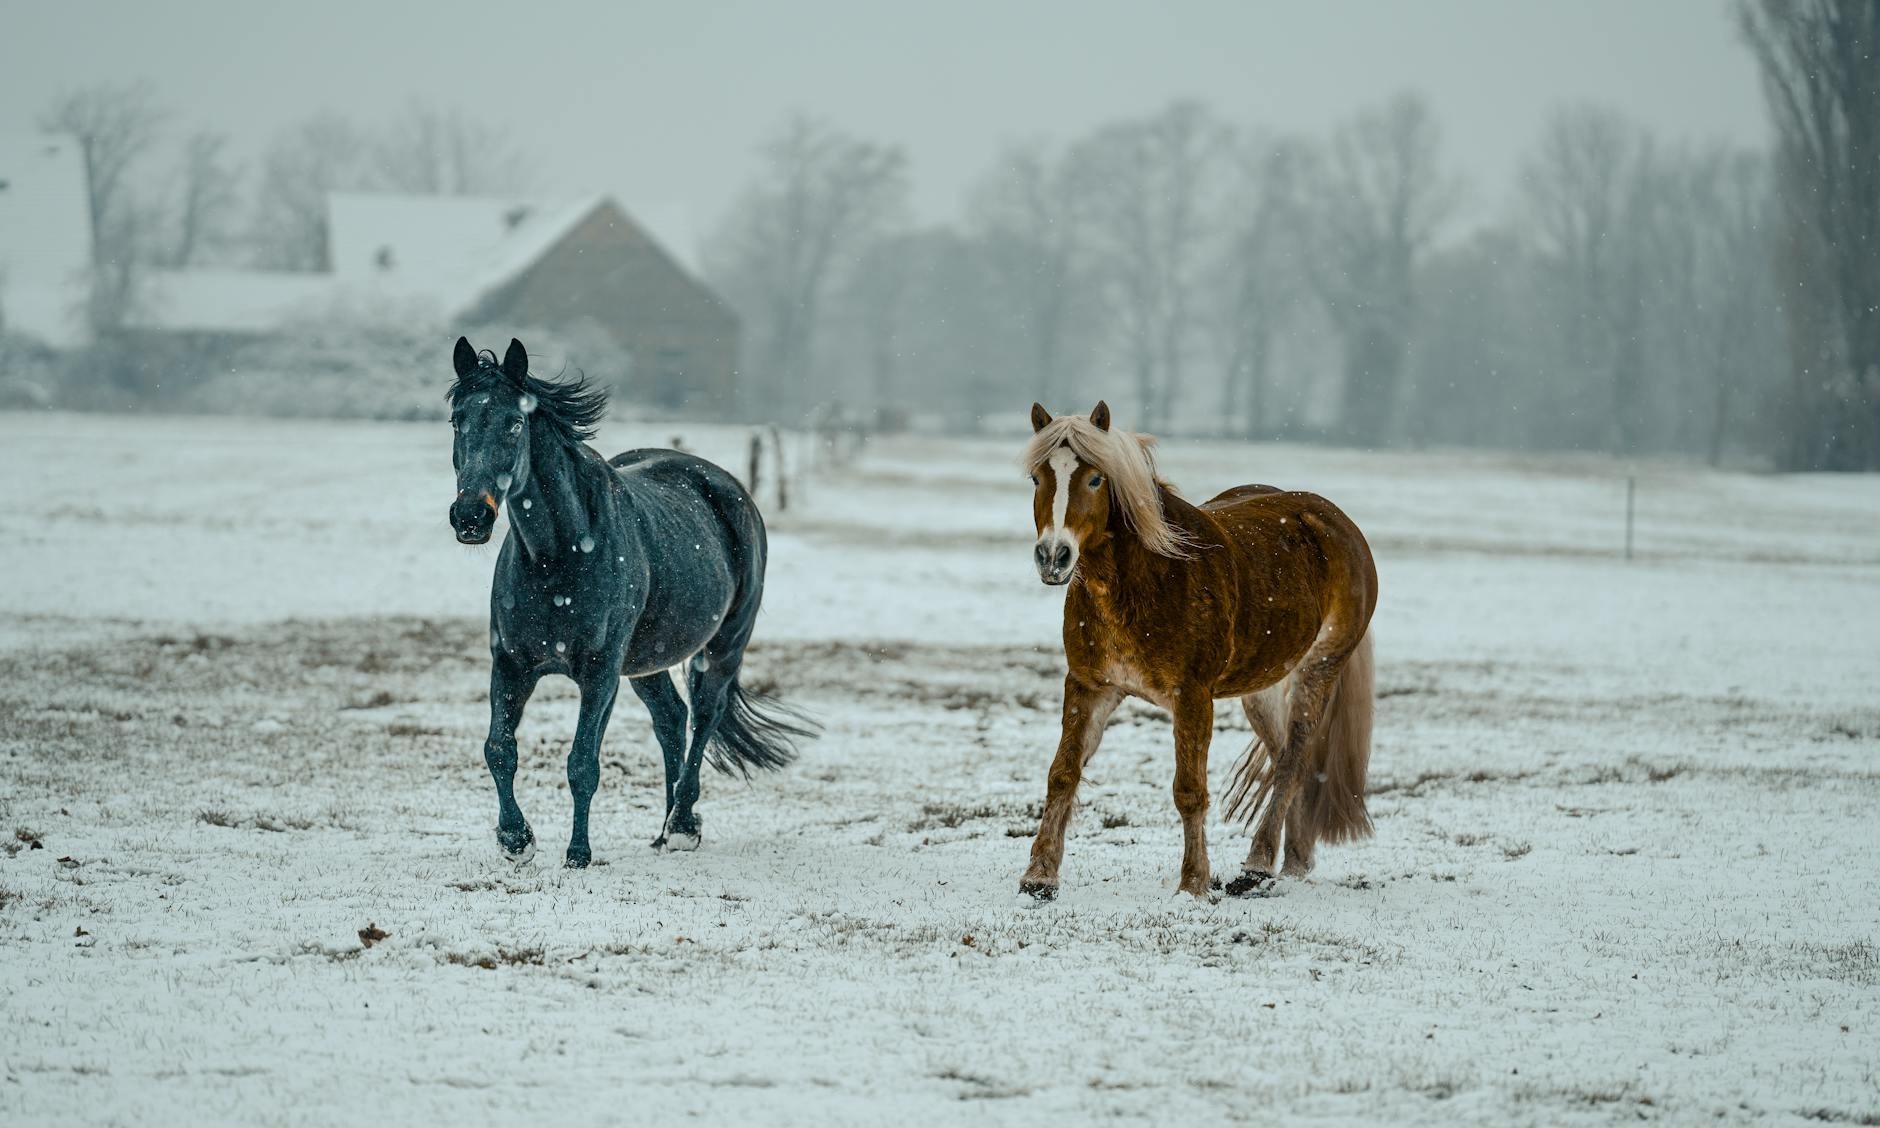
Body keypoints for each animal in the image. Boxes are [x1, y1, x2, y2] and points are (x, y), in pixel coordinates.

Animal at [445, 336, 815, 867]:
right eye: (458, 421)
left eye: (514, 422)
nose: (471, 516)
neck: (556, 559)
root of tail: (727, 486)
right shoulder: (512, 664)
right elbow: (499, 749)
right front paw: (516, 840)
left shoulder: (600, 672)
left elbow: (582, 762)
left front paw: (578, 853)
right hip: (646, 661)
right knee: (671, 719)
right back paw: (663, 830)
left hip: (723, 647)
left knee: (704, 716)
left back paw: (681, 825)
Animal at [1017, 401, 1378, 900]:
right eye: (1037, 478)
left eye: (1094, 479)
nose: (1053, 557)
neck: (1144, 578)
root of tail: (1339, 524)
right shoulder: (1091, 686)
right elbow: (1062, 773)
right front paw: (1039, 876)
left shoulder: (1191, 696)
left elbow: (1189, 790)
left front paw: (1192, 884)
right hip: (1262, 688)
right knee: (1287, 756)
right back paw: (1294, 861)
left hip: (1319, 668)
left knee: (1293, 758)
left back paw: (1257, 866)